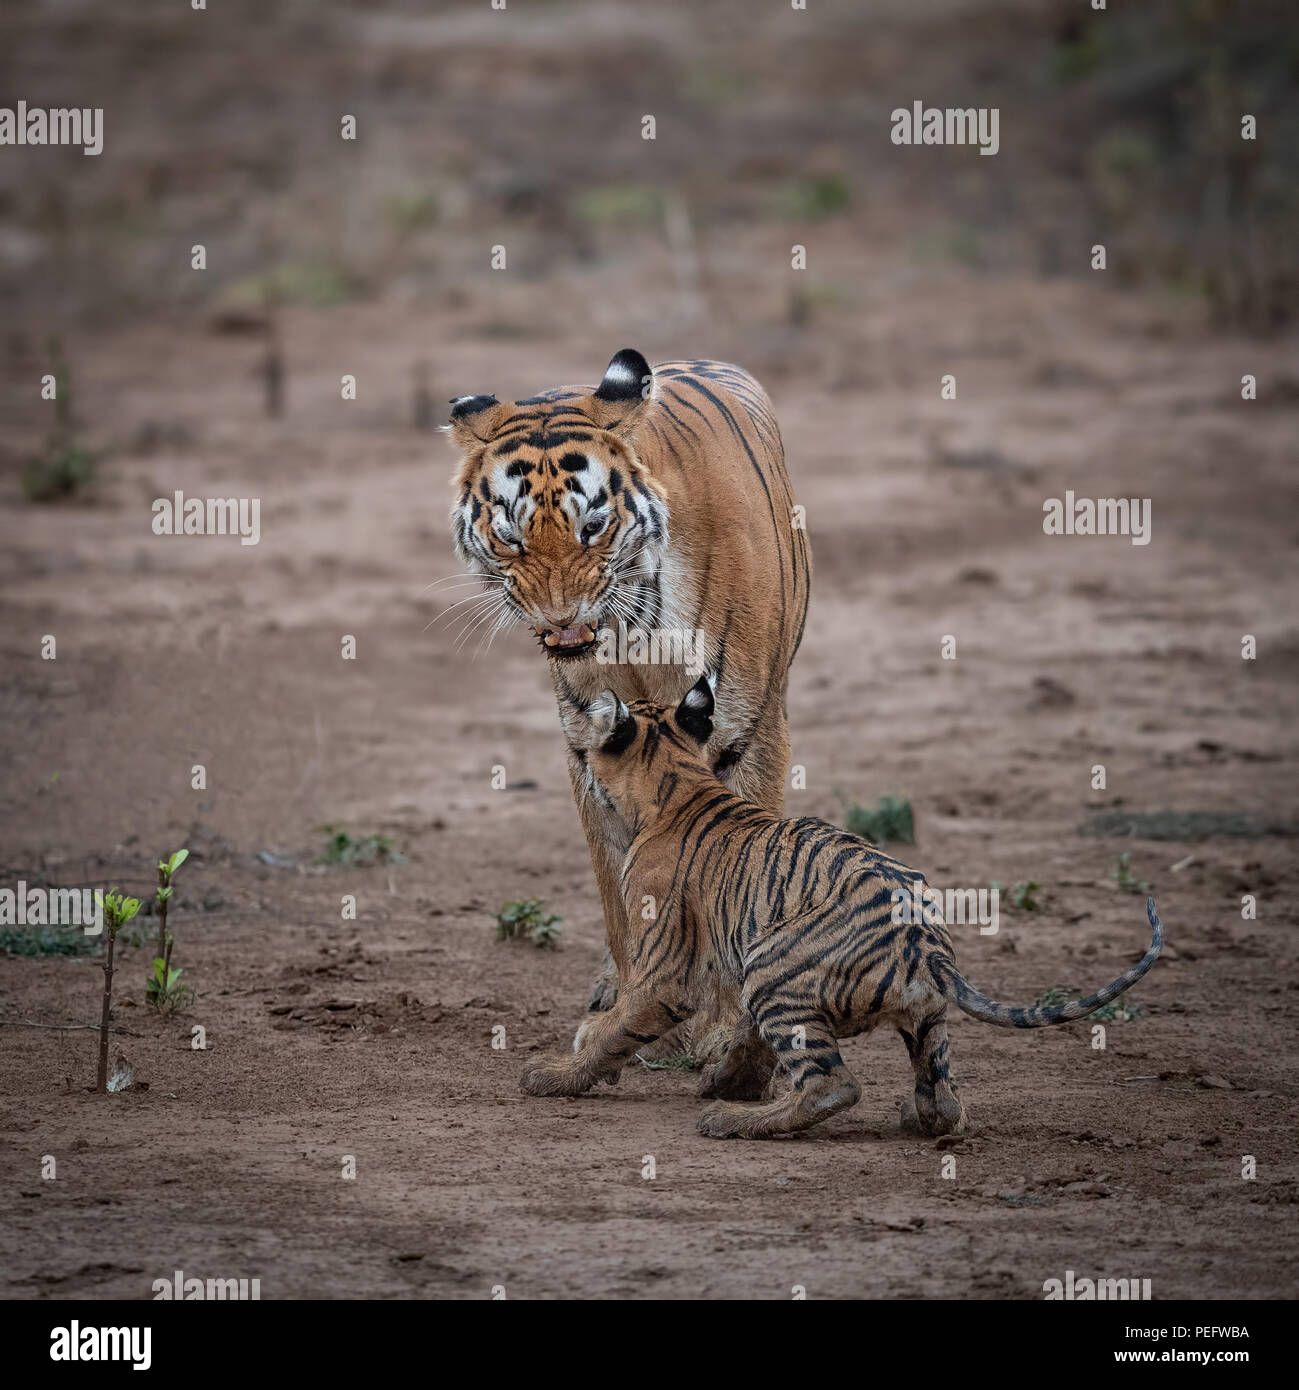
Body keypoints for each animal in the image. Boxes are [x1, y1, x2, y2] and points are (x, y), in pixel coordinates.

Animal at [450, 347, 811, 1050]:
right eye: (511, 536)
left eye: (592, 527)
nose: (560, 616)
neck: (632, 626)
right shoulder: (593, 744)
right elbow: (621, 899)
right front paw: (635, 1018)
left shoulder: (747, 731)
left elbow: (739, 875)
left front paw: (726, 1036)